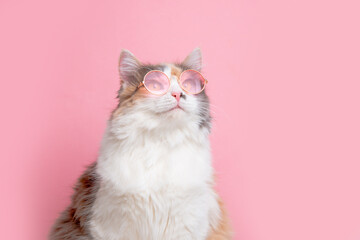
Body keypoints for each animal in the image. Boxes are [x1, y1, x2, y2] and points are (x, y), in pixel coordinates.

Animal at [49, 47, 232, 239]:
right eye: (155, 86)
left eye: (188, 85)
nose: (178, 94)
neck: (162, 139)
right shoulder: (111, 224)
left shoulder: (187, 223)